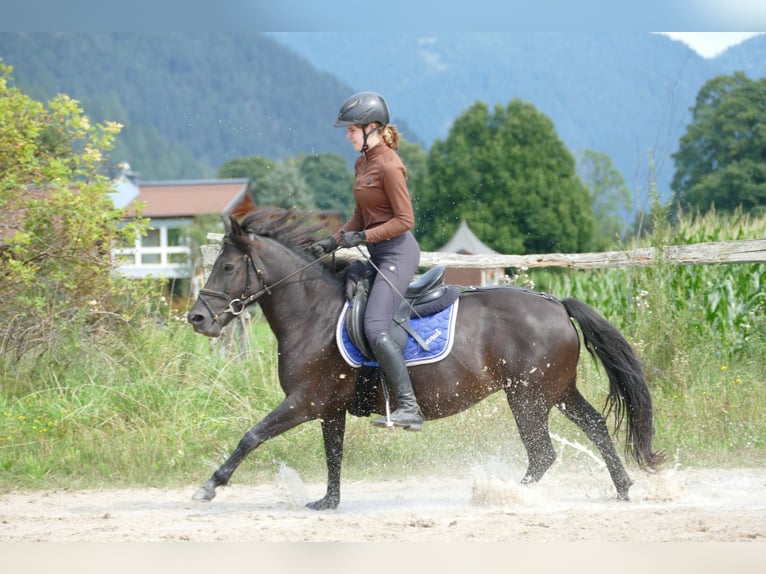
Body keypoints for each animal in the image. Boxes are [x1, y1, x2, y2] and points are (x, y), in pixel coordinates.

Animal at [188, 209, 664, 510]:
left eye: (228, 267)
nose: (197, 318)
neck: (315, 313)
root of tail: (557, 305)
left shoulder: (304, 401)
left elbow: (251, 436)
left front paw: (209, 486)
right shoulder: (329, 408)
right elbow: (333, 454)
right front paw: (328, 502)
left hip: (527, 397)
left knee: (543, 453)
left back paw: (502, 494)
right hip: (557, 390)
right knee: (595, 426)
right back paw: (623, 487)